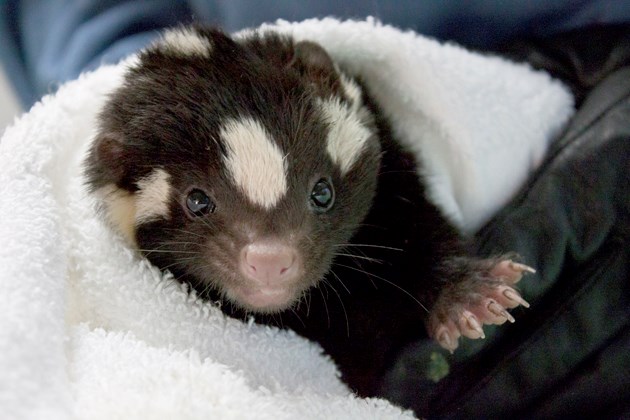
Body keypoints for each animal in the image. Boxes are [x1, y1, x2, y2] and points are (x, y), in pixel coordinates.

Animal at [86, 27, 536, 398]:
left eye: (322, 192)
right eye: (197, 200)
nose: (269, 260)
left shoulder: (396, 183)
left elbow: (421, 233)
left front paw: (470, 296)